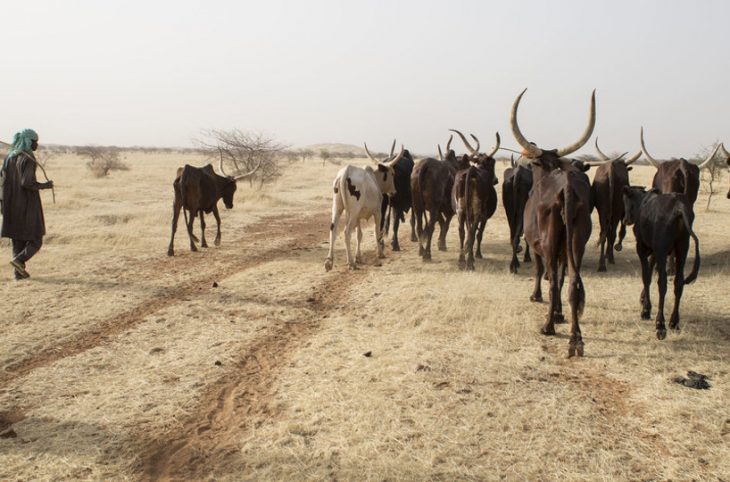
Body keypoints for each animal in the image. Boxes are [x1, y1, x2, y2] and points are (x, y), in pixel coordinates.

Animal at [324, 143, 404, 272]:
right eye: (392, 173)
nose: (394, 192)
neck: (374, 178)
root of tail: (346, 172)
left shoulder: (357, 217)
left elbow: (359, 235)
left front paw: (358, 257)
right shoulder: (377, 212)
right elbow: (377, 232)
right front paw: (380, 253)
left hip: (338, 208)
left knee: (333, 229)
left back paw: (329, 262)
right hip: (353, 211)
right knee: (346, 232)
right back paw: (351, 263)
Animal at [450, 130, 500, 270]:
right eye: (493, 163)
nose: (496, 180)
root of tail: (471, 171)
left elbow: (468, 231)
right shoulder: (484, 217)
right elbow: (479, 234)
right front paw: (477, 255)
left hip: (461, 210)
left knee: (462, 232)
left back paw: (462, 260)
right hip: (477, 211)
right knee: (473, 233)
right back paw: (470, 263)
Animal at [510, 88, 596, 356]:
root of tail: (566, 187)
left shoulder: (538, 246)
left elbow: (542, 273)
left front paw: (538, 298)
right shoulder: (562, 252)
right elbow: (559, 278)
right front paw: (559, 313)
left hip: (548, 245)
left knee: (555, 282)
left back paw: (548, 326)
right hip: (577, 244)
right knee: (572, 283)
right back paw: (576, 339)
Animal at [588, 139, 640, 274]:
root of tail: (611, 167)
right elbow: (621, 231)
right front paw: (615, 249)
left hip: (602, 210)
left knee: (604, 233)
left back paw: (602, 264)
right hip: (615, 211)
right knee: (612, 234)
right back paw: (610, 259)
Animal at [620, 186, 700, 340]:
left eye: (626, 200)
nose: (626, 220)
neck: (643, 203)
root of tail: (678, 206)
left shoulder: (643, 249)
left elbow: (646, 276)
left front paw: (645, 310)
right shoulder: (654, 253)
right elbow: (650, 273)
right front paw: (644, 301)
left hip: (662, 251)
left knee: (662, 283)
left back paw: (660, 325)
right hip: (682, 250)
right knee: (678, 283)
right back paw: (674, 322)